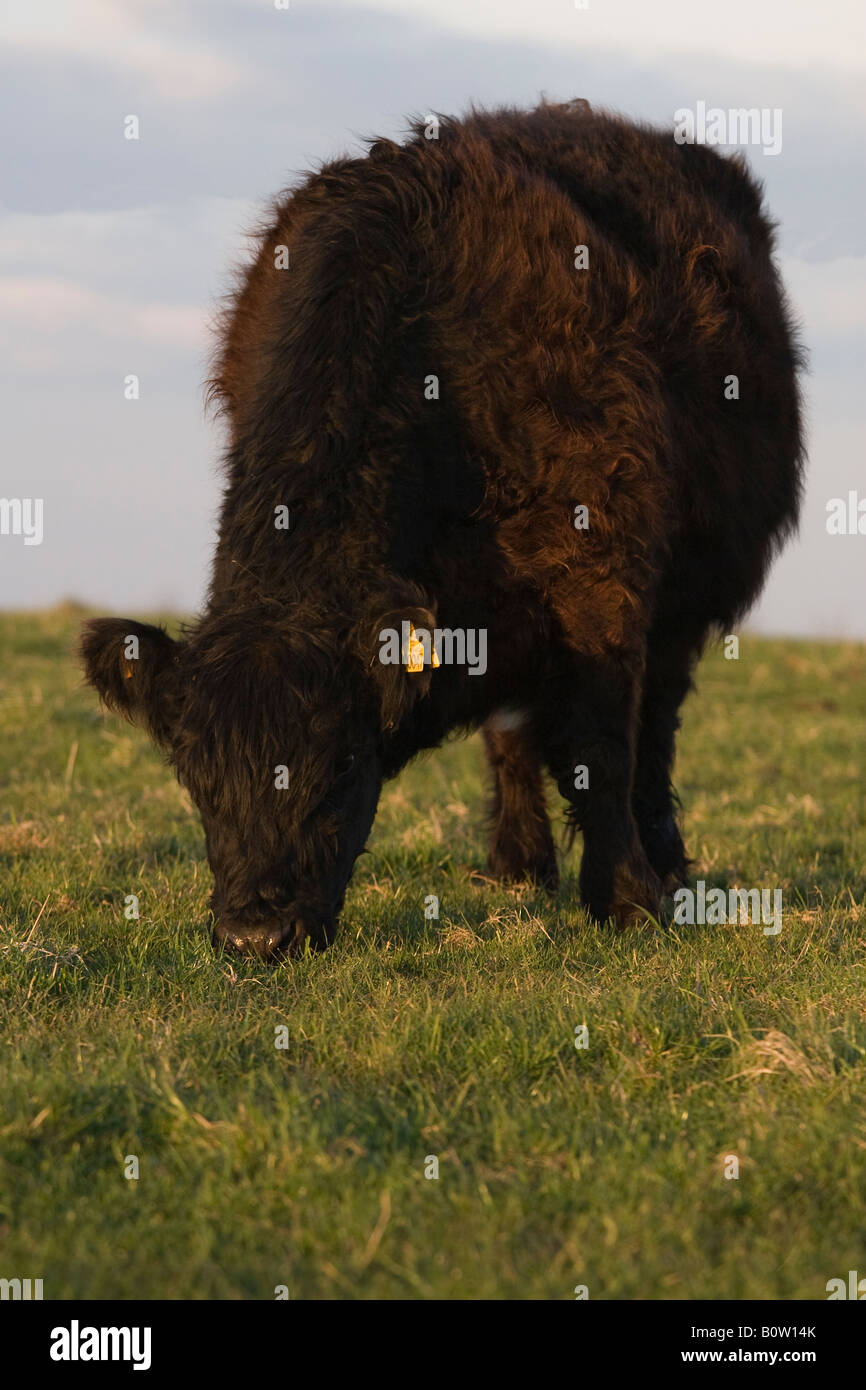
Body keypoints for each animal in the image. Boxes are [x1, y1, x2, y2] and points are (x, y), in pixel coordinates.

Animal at [81, 102, 806, 961]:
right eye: (195, 774)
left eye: (341, 761)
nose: (255, 936)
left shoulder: (600, 574)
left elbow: (601, 742)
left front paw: (628, 900)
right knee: (516, 732)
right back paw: (519, 869)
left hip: (685, 595)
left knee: (653, 725)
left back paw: (664, 863)